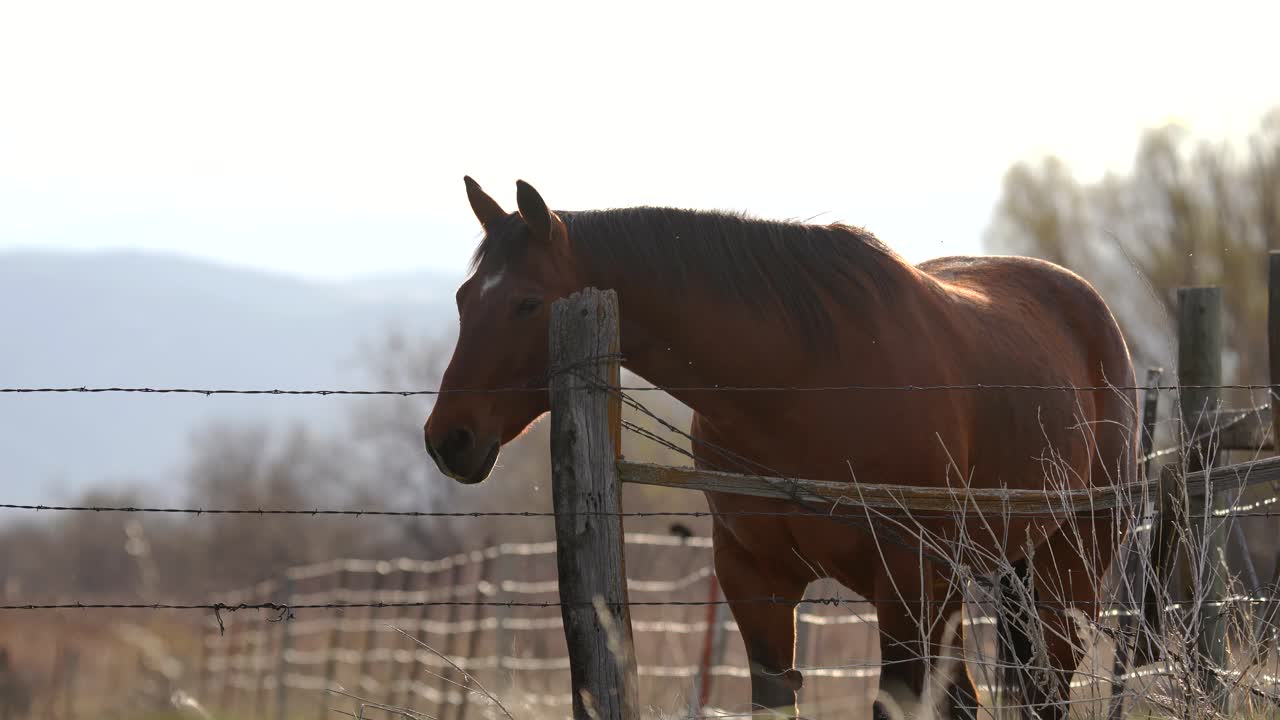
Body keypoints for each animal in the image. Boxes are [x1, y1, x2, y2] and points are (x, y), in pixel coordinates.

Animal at [423, 177, 1142, 719]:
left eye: (527, 303)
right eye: (461, 298)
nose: (447, 438)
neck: (801, 381)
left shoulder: (908, 583)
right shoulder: (756, 581)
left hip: (1062, 576)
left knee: (1042, 692)